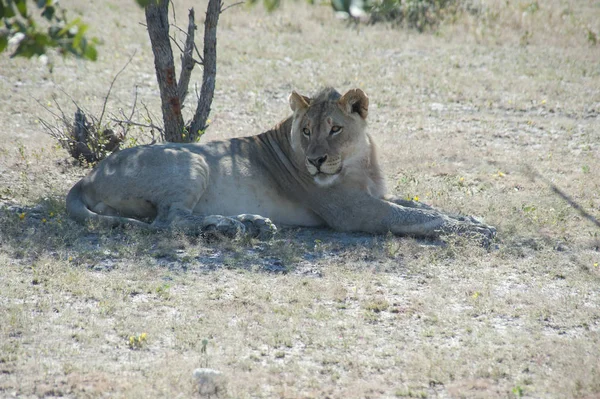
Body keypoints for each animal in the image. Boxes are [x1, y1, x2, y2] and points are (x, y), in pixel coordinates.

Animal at [67, 88, 496, 242]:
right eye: (305, 131)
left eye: (334, 128)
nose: (315, 161)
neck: (360, 161)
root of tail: (87, 176)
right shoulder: (354, 211)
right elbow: (417, 217)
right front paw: (474, 231)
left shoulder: (374, 194)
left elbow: (422, 206)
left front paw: (472, 219)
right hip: (191, 161)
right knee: (168, 220)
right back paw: (231, 227)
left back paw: (251, 224)